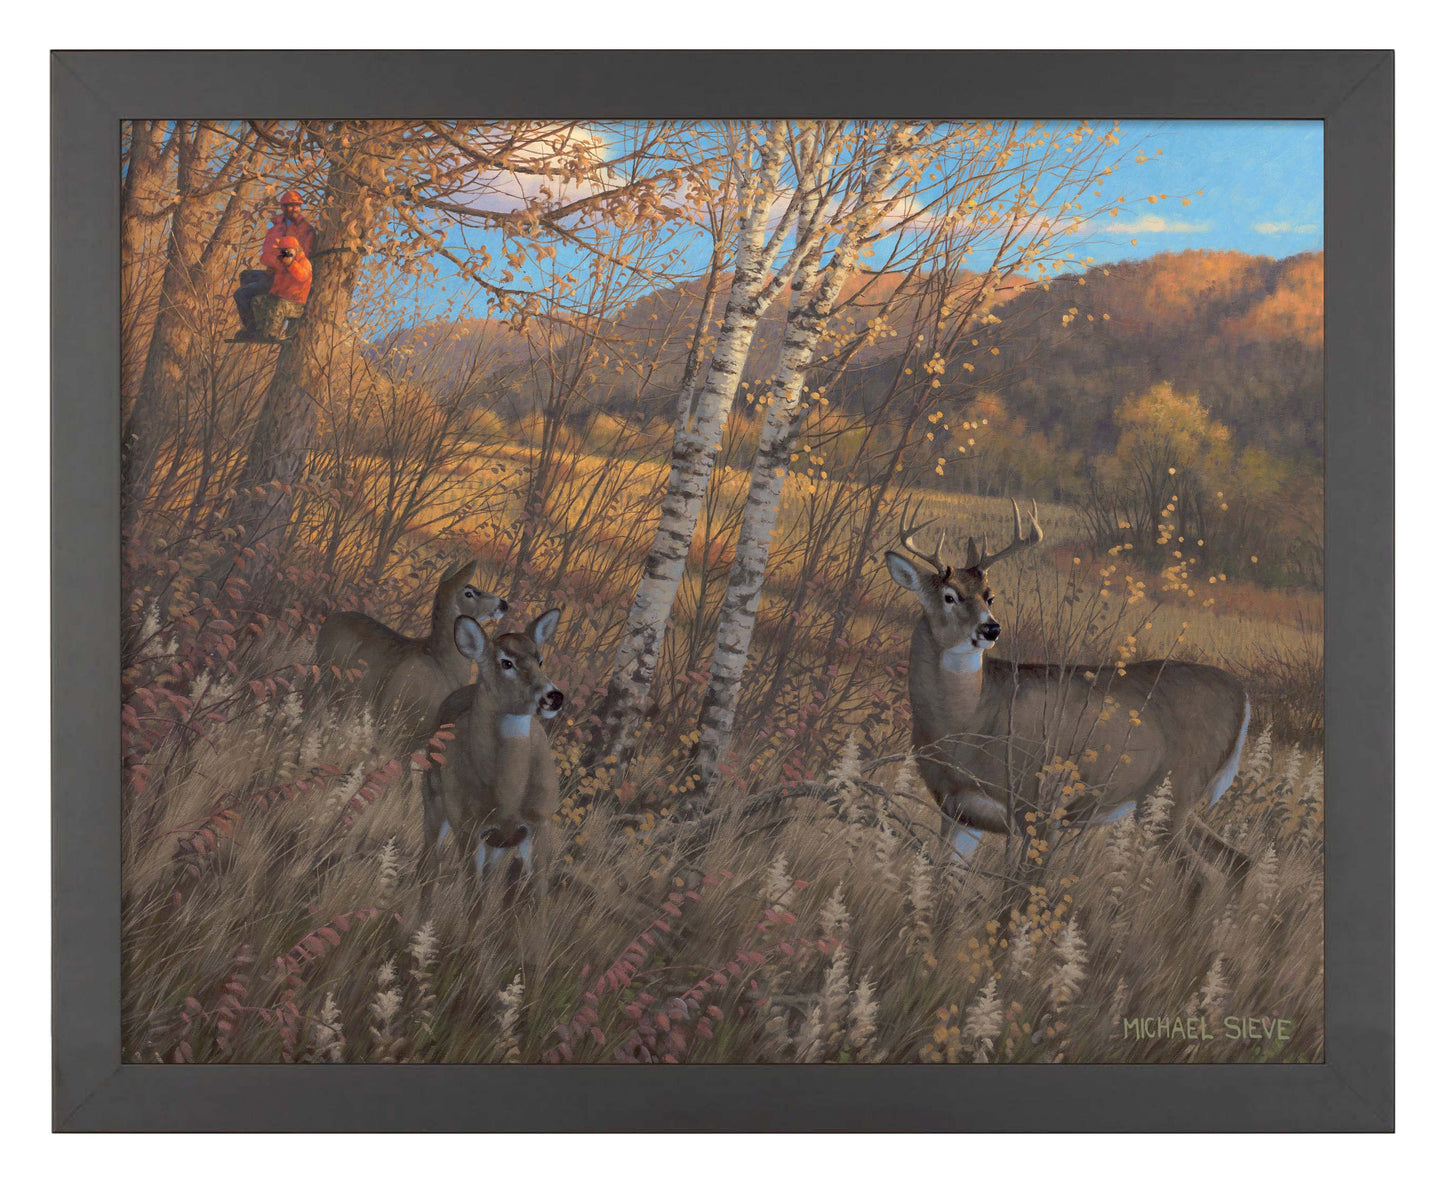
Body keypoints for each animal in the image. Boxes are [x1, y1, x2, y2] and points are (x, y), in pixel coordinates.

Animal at [418, 609, 565, 909]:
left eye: (540, 659)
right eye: (506, 662)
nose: (554, 696)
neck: (508, 796)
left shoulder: (539, 821)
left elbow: (539, 897)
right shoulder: (468, 825)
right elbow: (472, 900)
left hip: (496, 843)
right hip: (434, 799)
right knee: (429, 863)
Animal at [883, 500, 1250, 870]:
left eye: (990, 596)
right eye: (949, 596)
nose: (991, 629)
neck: (969, 721)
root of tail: (1243, 695)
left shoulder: (1041, 806)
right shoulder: (959, 812)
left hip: (1172, 793)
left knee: (1203, 873)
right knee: (1239, 862)